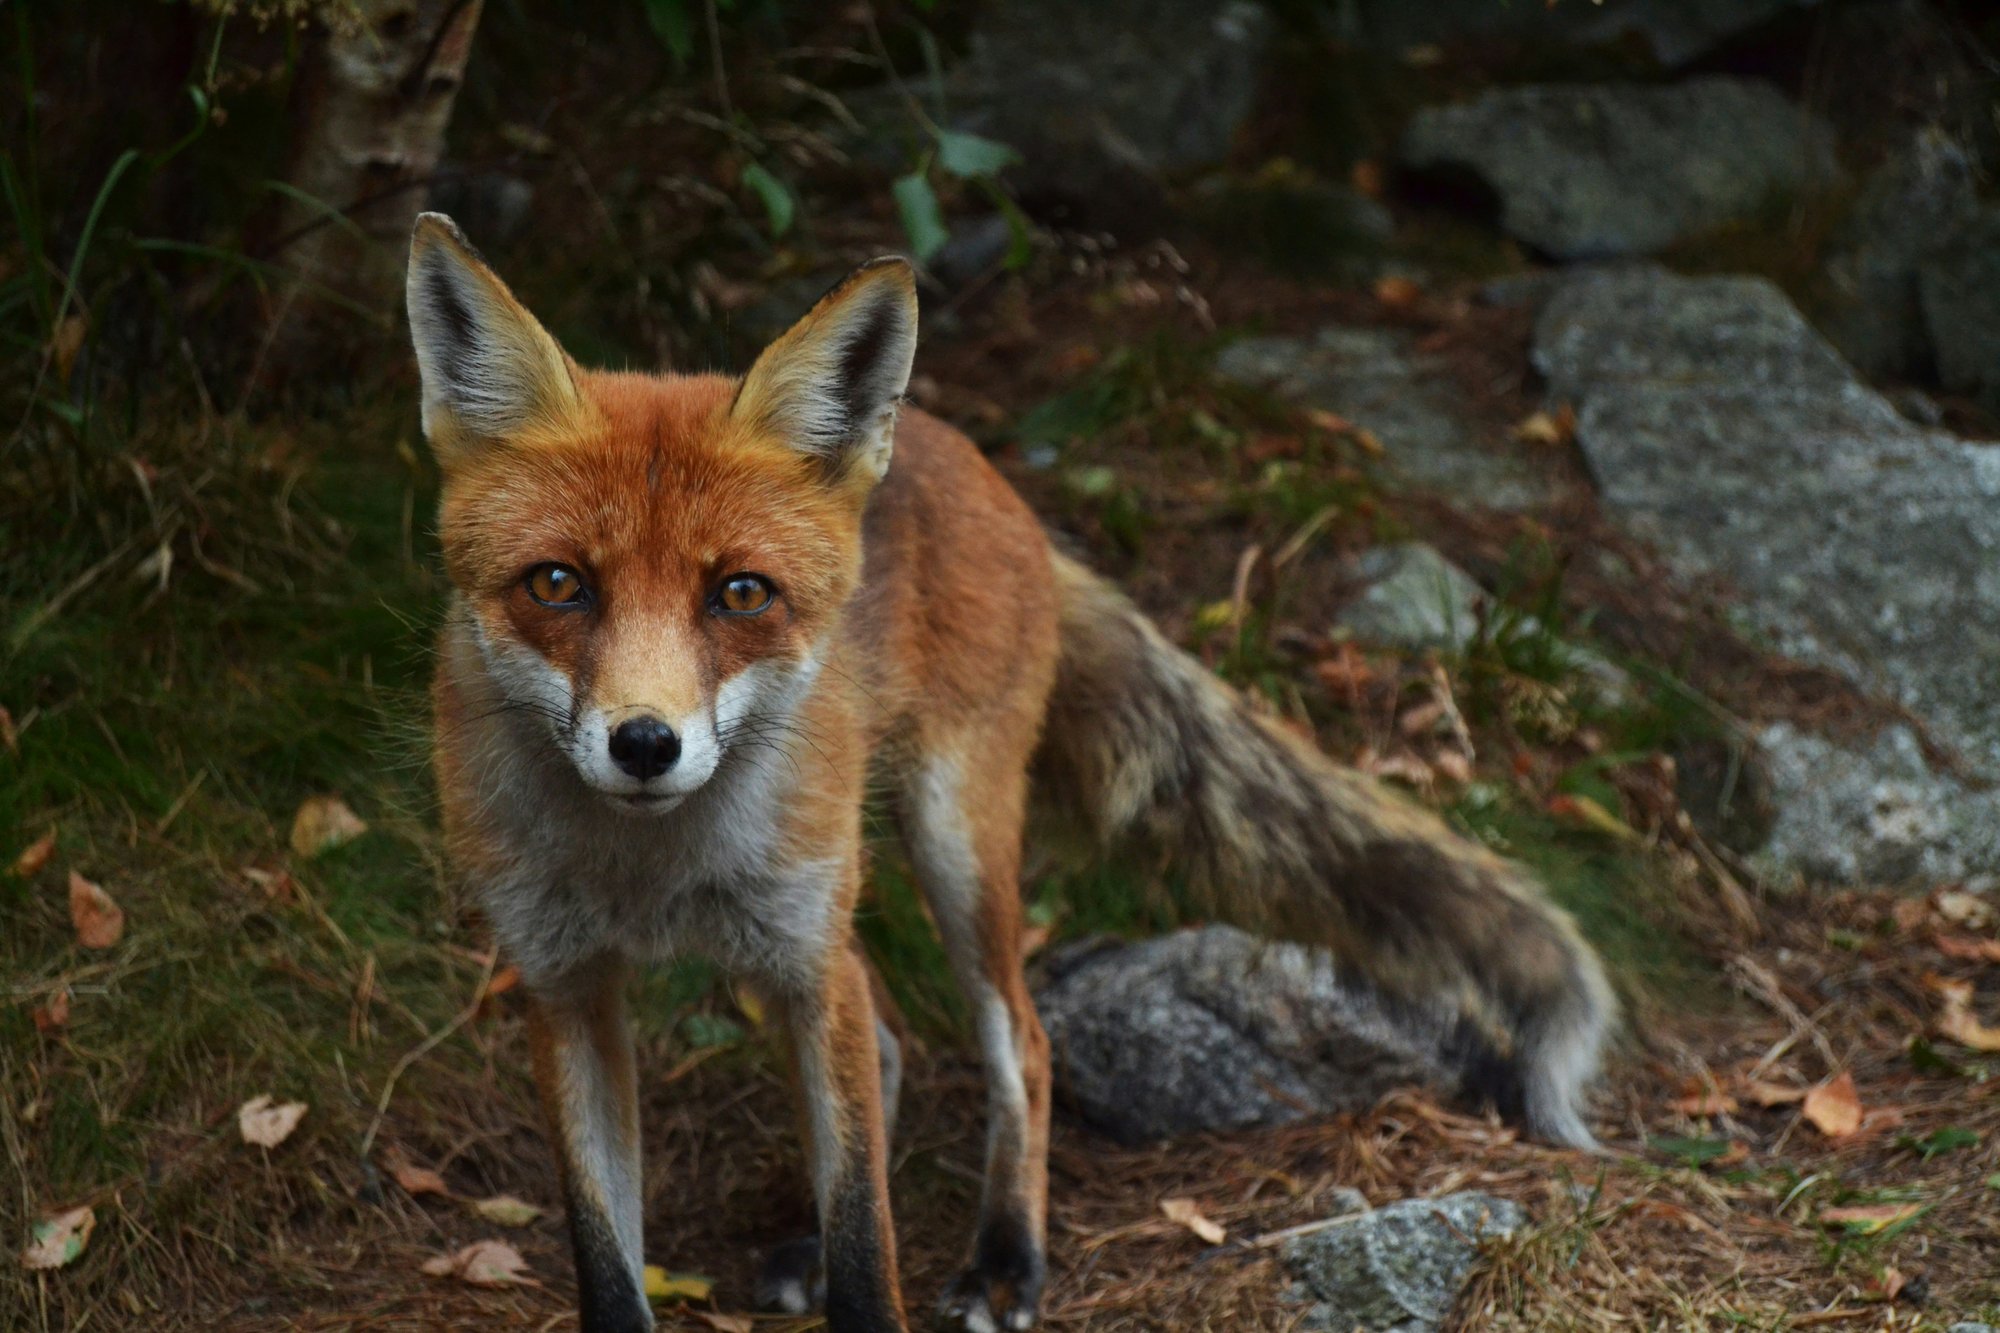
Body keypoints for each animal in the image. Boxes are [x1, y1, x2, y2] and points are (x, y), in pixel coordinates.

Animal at [405, 210, 1614, 1333]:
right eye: (557, 584)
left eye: (739, 594)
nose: (646, 743)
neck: (643, 869)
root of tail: (974, 461)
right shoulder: (564, 988)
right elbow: (609, 1261)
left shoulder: (805, 957)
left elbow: (869, 1247)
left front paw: (880, 1267)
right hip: (809, 921)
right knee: (890, 1044)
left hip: (944, 851)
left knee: (1019, 1045)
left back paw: (1005, 1259)